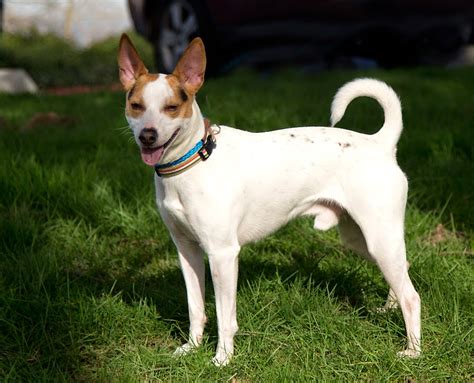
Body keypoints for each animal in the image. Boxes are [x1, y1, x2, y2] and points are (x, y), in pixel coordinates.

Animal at [116, 33, 420, 366]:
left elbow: (224, 317)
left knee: (412, 295)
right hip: (363, 240)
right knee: (402, 271)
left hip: (379, 238)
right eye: (135, 105)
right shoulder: (187, 250)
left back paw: (413, 350)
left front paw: (222, 359)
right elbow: (195, 307)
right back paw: (389, 309)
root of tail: (380, 143)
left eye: (171, 107)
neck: (194, 160)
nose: (147, 135)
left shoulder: (222, 254)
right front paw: (192, 347)